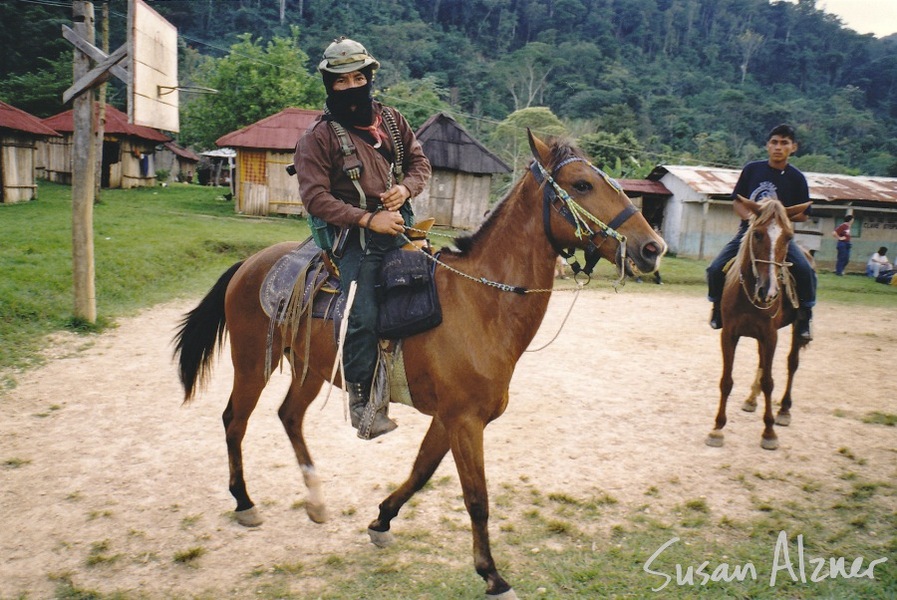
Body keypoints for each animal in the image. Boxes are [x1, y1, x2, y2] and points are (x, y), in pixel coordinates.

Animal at [175, 132, 664, 600]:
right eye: (582, 184)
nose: (652, 248)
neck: (480, 303)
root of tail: (250, 264)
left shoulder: (451, 419)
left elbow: (421, 472)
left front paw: (381, 521)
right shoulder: (465, 421)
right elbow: (476, 497)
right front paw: (492, 576)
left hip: (310, 369)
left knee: (289, 416)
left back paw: (314, 499)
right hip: (253, 363)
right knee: (235, 420)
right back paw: (244, 502)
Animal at [708, 196, 812, 450]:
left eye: (788, 237)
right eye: (757, 234)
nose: (770, 291)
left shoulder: (770, 335)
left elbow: (769, 381)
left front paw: (769, 432)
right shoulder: (729, 334)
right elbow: (726, 380)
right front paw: (717, 429)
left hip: (796, 329)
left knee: (792, 364)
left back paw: (784, 410)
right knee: (762, 362)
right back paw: (751, 399)